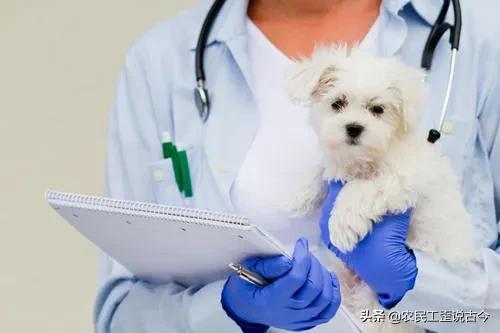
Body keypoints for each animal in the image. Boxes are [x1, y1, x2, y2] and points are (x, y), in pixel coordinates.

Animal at [286, 46, 476, 332]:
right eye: (337, 103)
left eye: (377, 109)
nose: (353, 127)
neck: (366, 157)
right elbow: (322, 167)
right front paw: (299, 194)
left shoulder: (404, 176)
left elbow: (361, 188)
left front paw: (340, 225)